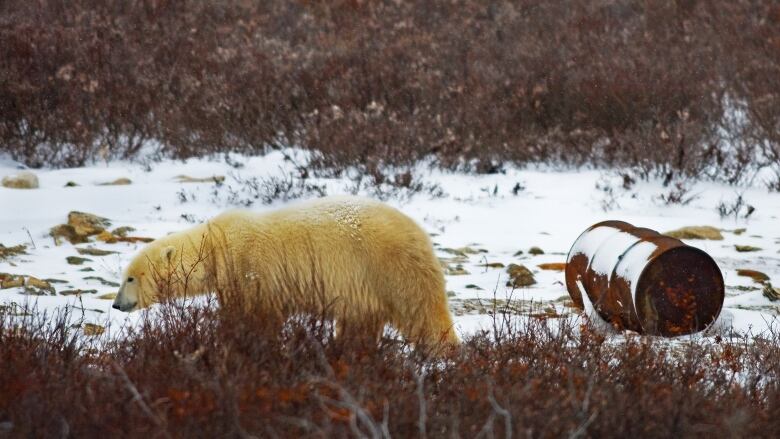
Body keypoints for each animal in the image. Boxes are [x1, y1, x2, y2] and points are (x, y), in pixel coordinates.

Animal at [112, 197, 460, 348]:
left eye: (130, 277)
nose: (116, 304)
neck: (217, 245)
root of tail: (420, 234)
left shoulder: (250, 270)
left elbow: (255, 315)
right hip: (364, 286)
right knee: (359, 323)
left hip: (390, 269)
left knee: (422, 313)